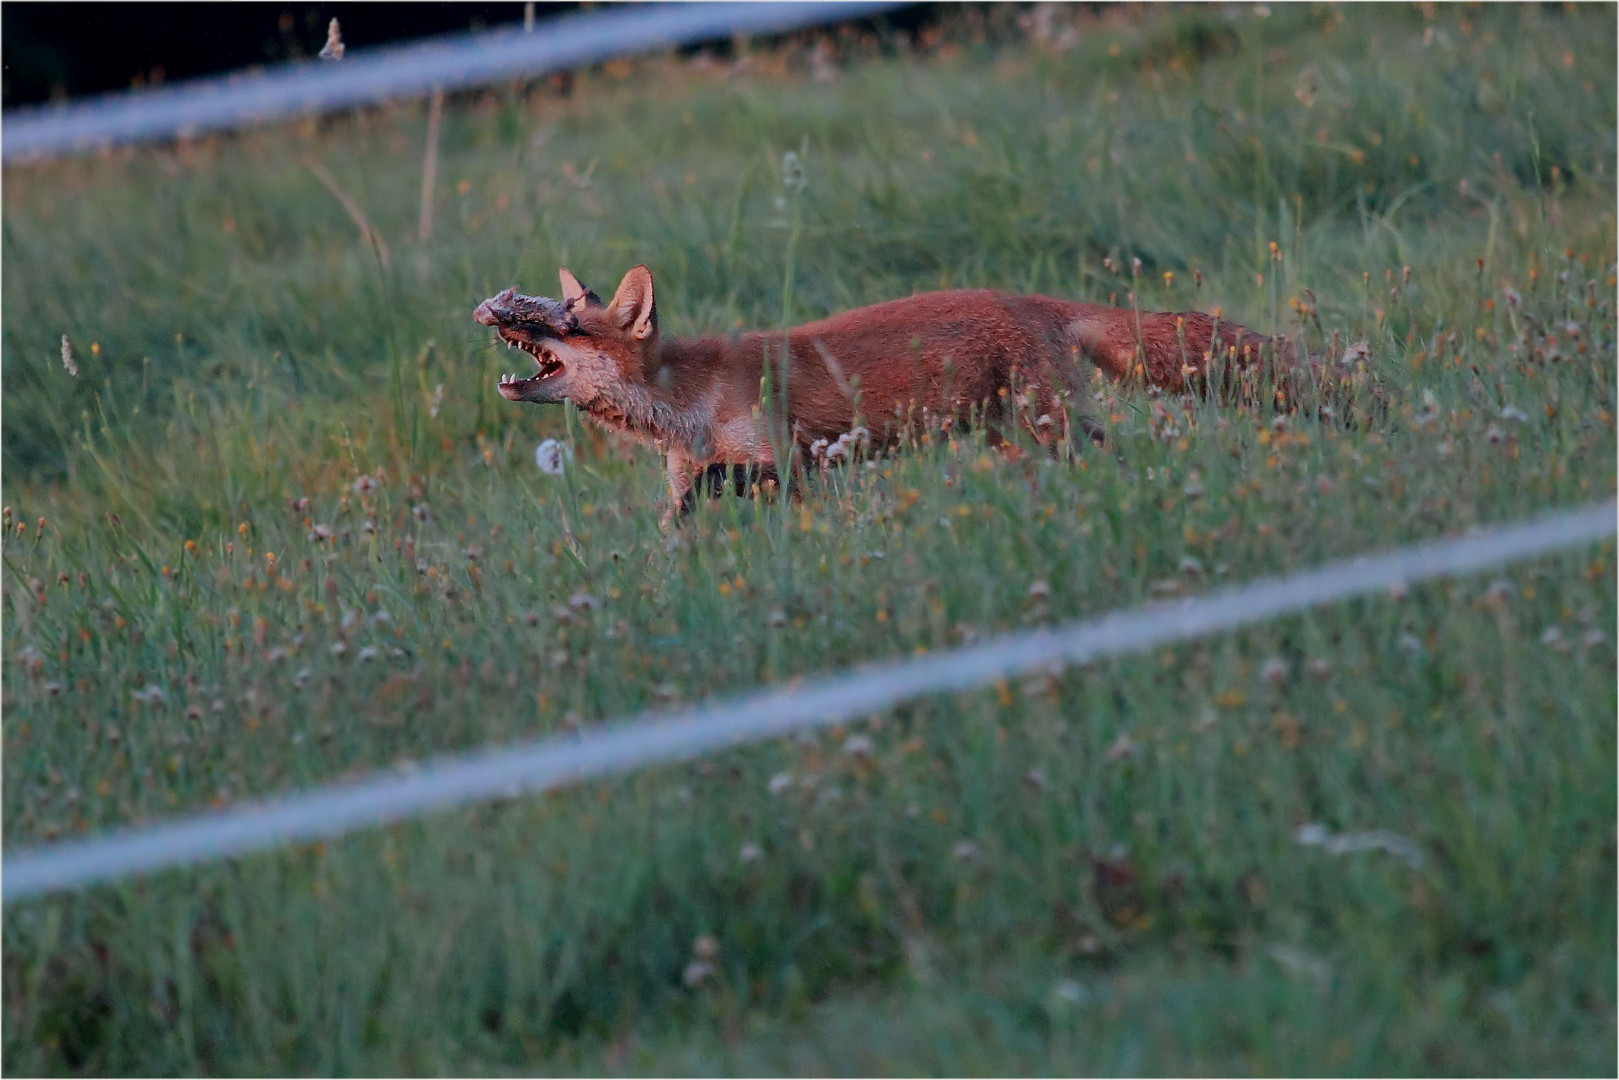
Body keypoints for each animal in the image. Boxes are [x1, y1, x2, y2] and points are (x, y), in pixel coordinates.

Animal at [475, 265, 1314, 527]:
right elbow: (674, 525)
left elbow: (743, 488)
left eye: (568, 324)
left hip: (1052, 426)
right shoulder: (684, 477)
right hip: (1014, 440)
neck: (688, 406)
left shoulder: (787, 463)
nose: (494, 309)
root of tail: (1024, 298)